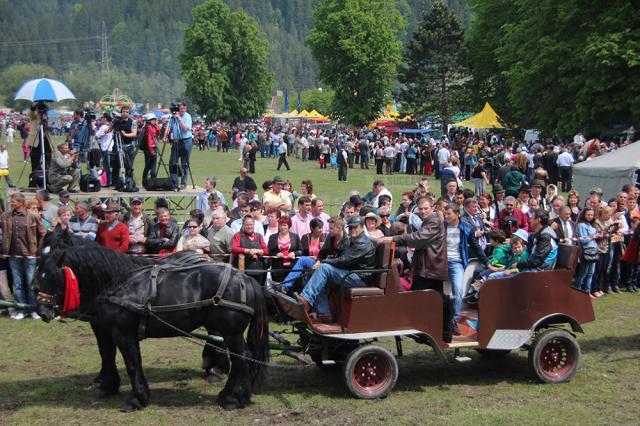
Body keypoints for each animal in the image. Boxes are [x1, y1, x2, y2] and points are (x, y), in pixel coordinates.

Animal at [33, 245, 268, 412]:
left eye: (52, 276)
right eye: (38, 273)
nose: (42, 311)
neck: (118, 284)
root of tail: (244, 277)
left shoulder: (123, 333)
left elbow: (132, 363)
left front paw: (136, 399)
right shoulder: (106, 329)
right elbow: (107, 355)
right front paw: (108, 386)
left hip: (231, 332)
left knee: (242, 358)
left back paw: (233, 398)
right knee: (242, 358)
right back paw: (235, 395)